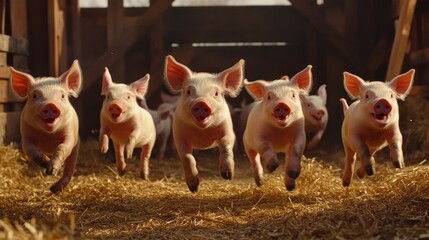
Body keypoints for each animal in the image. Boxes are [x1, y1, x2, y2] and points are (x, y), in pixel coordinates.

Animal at [9, 60, 82, 193]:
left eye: (62, 96)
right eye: (34, 96)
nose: (50, 104)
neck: (49, 136)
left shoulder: (70, 134)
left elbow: (63, 146)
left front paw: (52, 171)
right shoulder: (26, 135)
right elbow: (31, 150)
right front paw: (47, 165)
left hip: (76, 146)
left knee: (68, 171)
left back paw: (54, 189)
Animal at [164, 55, 244, 192]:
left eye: (216, 93)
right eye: (189, 92)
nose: (201, 102)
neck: (202, 133)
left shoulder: (228, 129)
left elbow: (225, 143)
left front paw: (228, 175)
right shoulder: (179, 136)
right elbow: (187, 157)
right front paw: (194, 188)